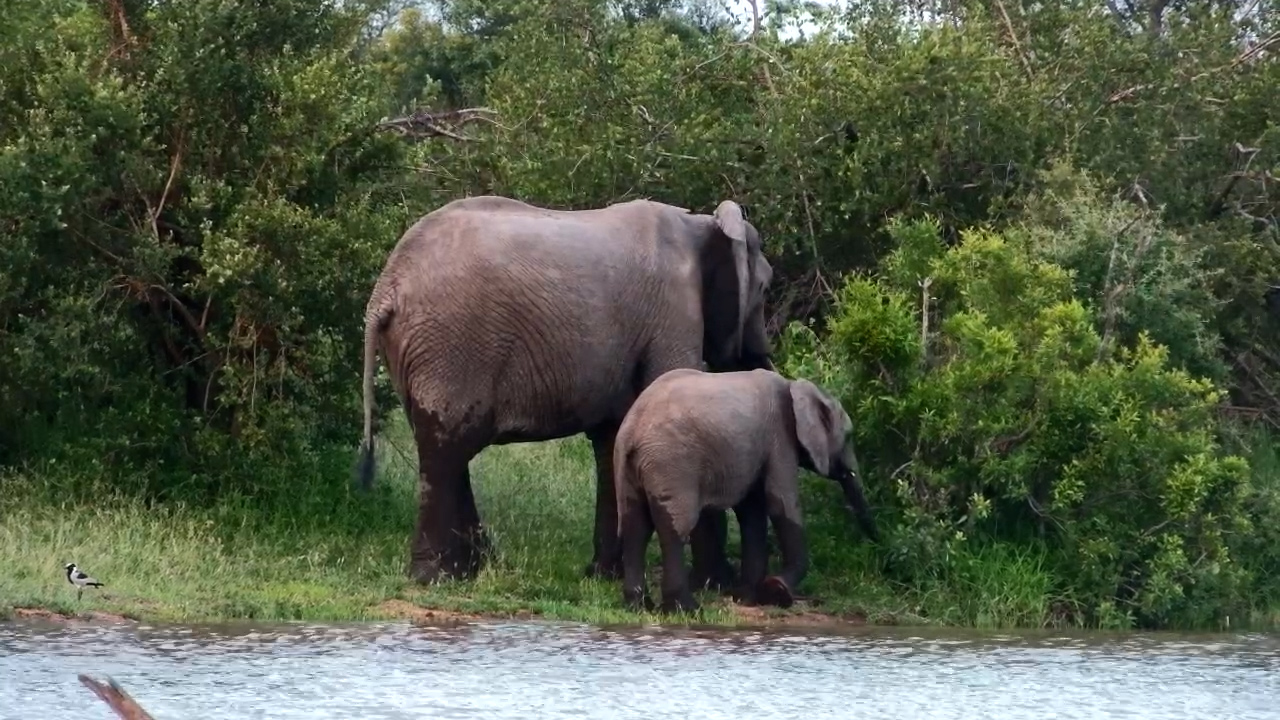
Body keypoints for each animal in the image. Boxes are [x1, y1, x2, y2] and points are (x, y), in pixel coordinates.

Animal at [355, 194, 775, 585]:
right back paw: (436, 577)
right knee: (446, 447)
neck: (702, 225)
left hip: (419, 350)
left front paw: (604, 576)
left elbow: (613, 437)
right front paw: (718, 584)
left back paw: (471, 569)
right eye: (765, 288)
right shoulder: (673, 312)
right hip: (452, 344)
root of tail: (386, 289)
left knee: (444, 444)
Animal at [613, 367, 878, 614]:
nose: (877, 543)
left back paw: (638, 606)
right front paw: (777, 590)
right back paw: (686, 609)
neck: (797, 387)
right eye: (849, 437)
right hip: (671, 463)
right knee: (675, 528)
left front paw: (747, 597)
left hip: (632, 467)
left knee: (635, 525)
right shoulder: (779, 438)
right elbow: (781, 503)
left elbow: (752, 510)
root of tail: (631, 430)